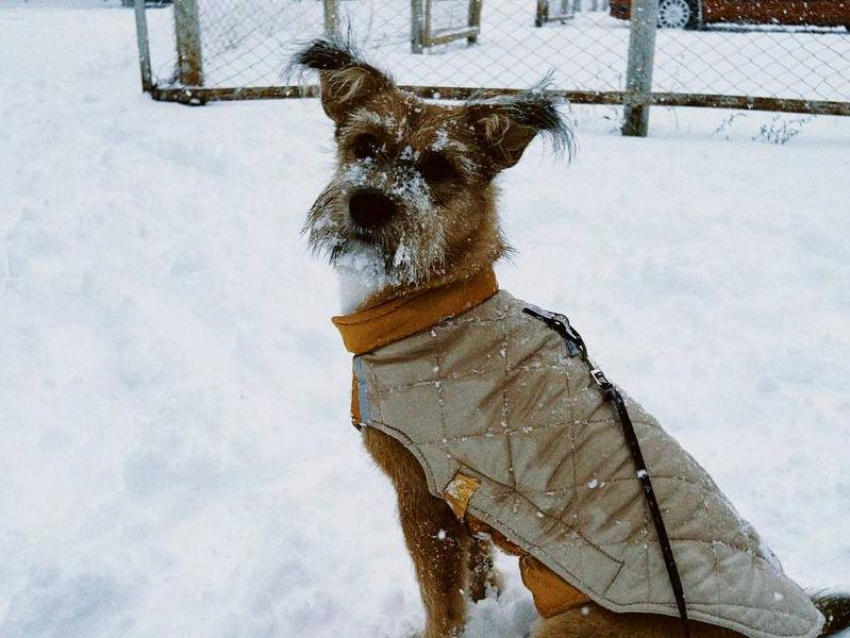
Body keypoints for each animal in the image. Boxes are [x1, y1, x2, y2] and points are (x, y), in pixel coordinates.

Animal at [288, 38, 844, 638]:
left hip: (568, 625)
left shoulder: (422, 497)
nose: (369, 203)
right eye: (366, 144)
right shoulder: (460, 504)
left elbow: (442, 602)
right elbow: (476, 575)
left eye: (439, 168)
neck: (434, 305)